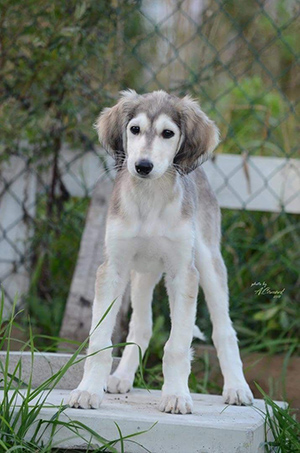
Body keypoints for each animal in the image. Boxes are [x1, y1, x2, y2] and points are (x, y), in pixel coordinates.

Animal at [68, 88, 253, 414]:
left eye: (168, 133)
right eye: (134, 129)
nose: (143, 166)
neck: (149, 200)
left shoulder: (183, 274)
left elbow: (177, 346)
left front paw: (177, 395)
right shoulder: (112, 269)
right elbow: (100, 341)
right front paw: (88, 390)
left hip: (209, 263)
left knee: (224, 331)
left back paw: (236, 388)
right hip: (142, 274)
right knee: (141, 327)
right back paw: (121, 377)